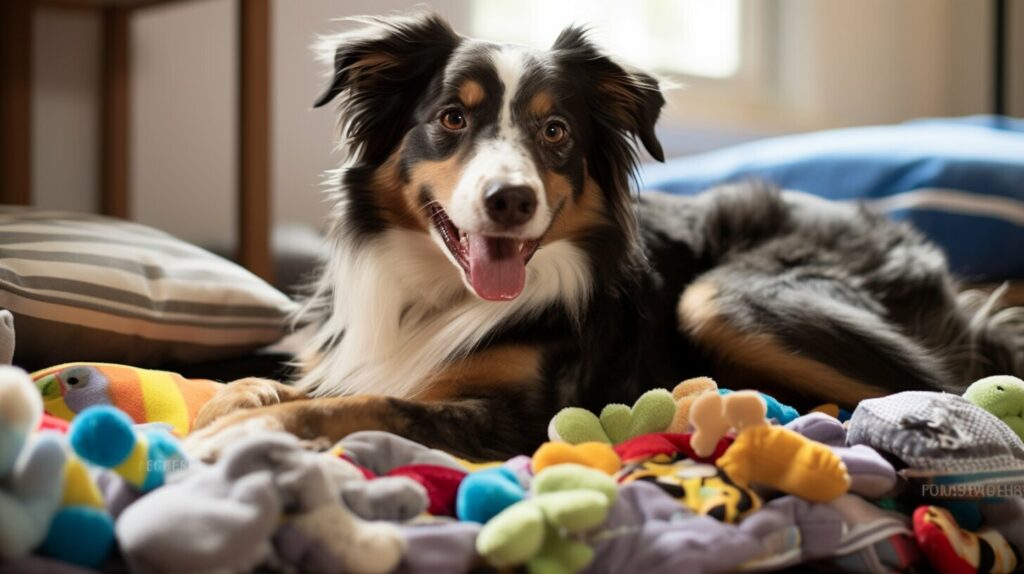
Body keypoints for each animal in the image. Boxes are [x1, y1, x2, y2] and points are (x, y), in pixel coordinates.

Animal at [186, 14, 1024, 460]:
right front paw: (231, 401)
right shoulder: (363, 352)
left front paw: (244, 432)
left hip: (721, 298)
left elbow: (367, 405)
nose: (511, 200)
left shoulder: (523, 420)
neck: (439, 297)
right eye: (451, 118)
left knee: (940, 390)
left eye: (555, 130)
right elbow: (286, 383)